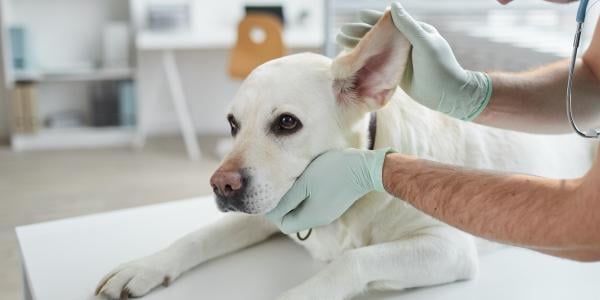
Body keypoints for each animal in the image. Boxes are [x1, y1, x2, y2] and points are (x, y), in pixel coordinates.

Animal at [95, 10, 596, 298]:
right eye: (232, 124)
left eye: (287, 123)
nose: (222, 185)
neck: (348, 207)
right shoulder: (268, 210)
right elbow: (198, 236)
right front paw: (143, 268)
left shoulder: (450, 246)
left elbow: (354, 260)